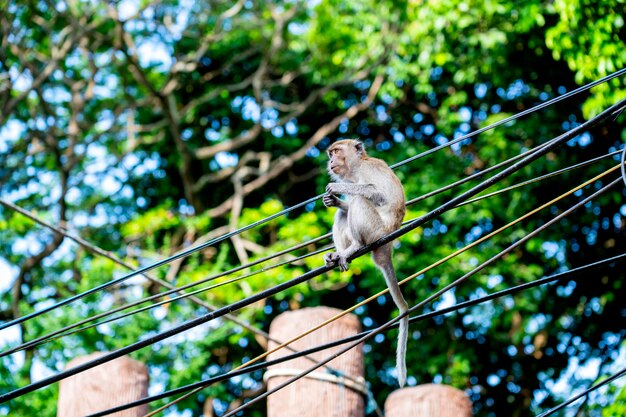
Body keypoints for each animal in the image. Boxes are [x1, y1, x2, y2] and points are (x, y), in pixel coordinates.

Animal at [322, 138, 410, 386]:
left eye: (336, 151)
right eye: (330, 153)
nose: (330, 161)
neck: (356, 167)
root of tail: (388, 242)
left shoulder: (368, 170)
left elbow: (376, 193)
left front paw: (337, 190)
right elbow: (345, 208)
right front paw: (333, 200)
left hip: (375, 231)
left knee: (361, 201)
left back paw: (353, 247)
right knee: (344, 213)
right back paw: (338, 254)